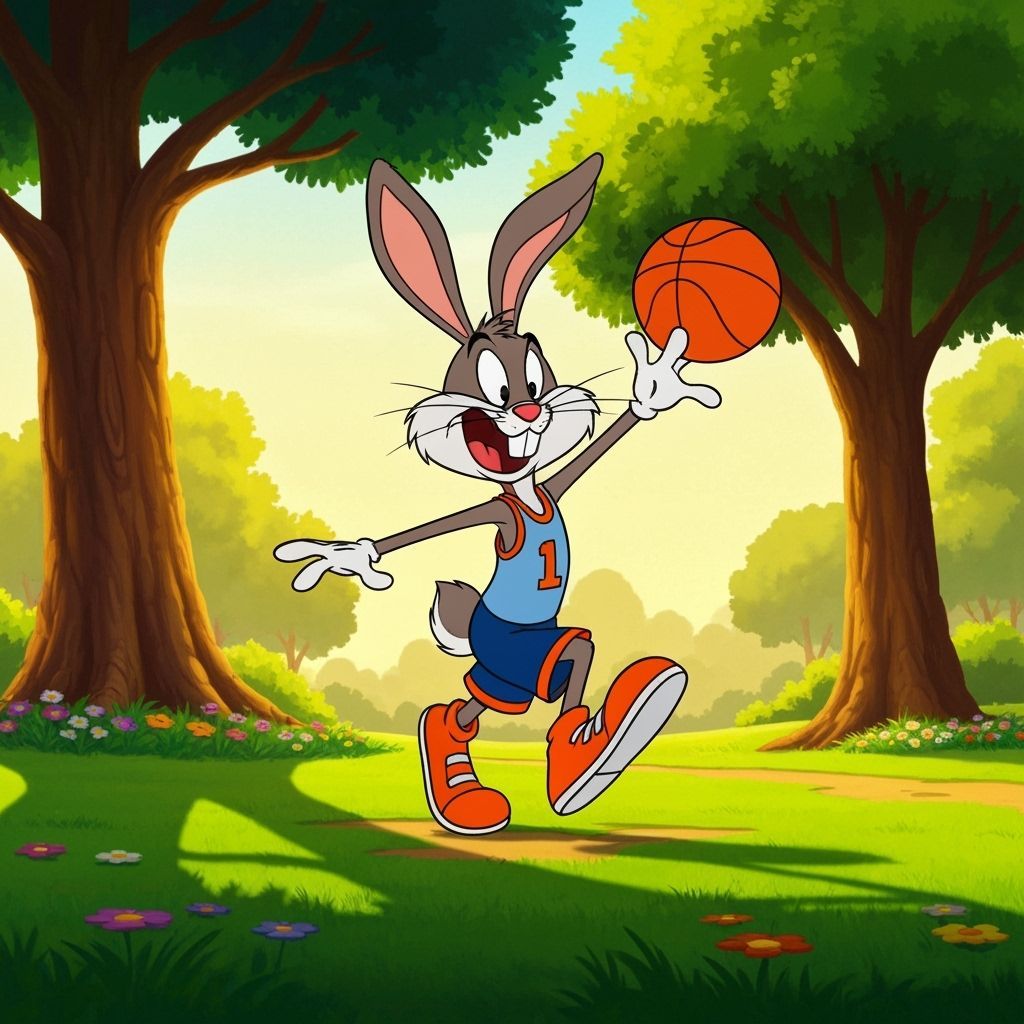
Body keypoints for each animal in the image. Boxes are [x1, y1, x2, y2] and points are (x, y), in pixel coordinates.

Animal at [275, 153, 722, 836]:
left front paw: (655, 387)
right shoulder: (498, 514)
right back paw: (458, 781)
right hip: (504, 652)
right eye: (493, 387)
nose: (530, 411)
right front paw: (346, 556)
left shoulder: (556, 483)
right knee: (471, 704)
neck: (528, 492)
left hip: (528, 655)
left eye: (536, 378)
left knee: (568, 653)